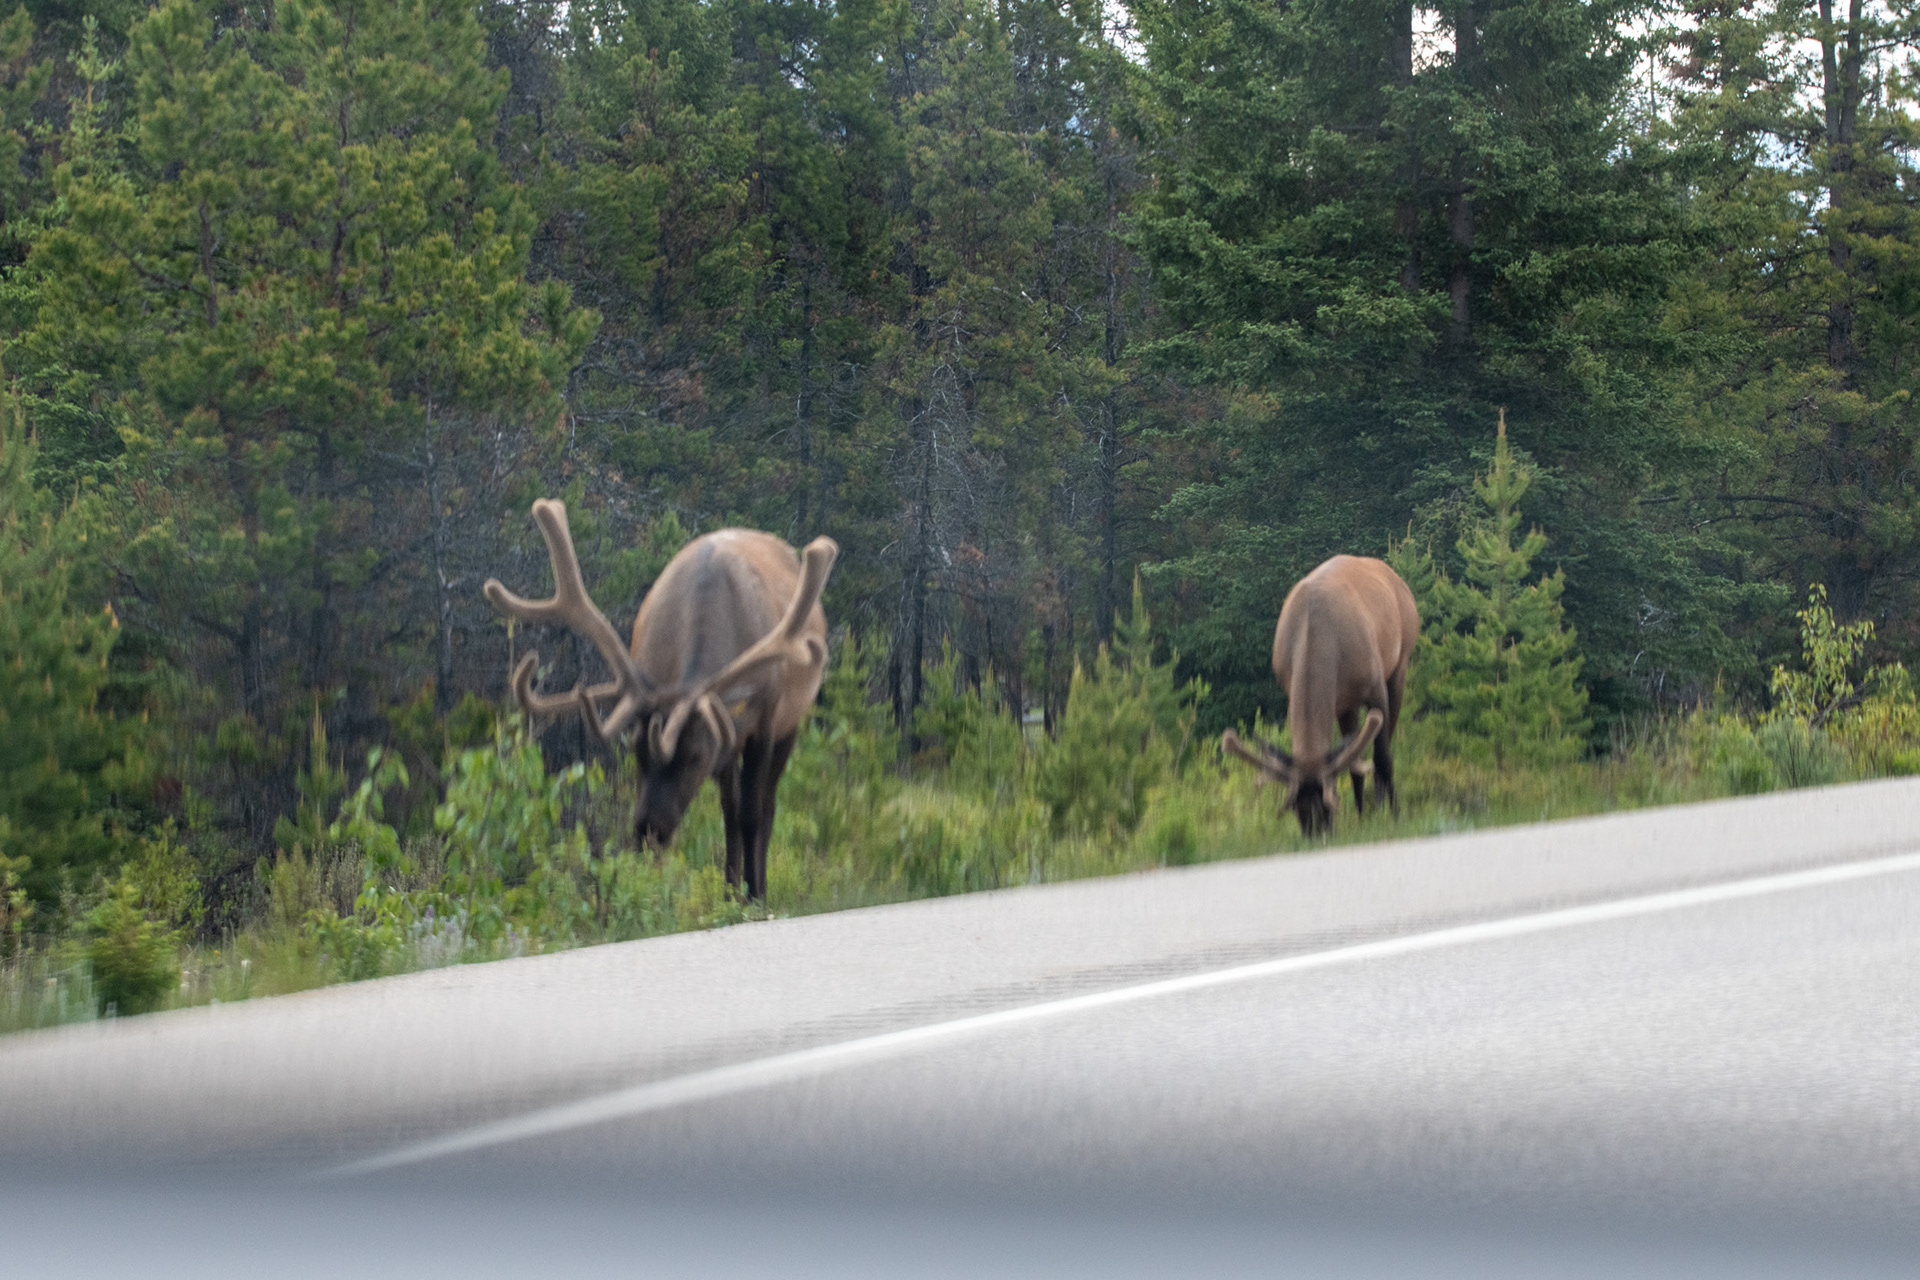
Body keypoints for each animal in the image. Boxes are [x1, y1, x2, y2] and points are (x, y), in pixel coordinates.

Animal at [483, 499, 837, 901]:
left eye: (695, 757)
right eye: (636, 750)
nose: (648, 830)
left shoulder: (764, 721)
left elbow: (754, 813)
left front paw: (756, 895)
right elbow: (732, 812)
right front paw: (733, 895)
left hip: (790, 723)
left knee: (765, 804)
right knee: (729, 808)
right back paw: (729, 890)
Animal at [1221, 555, 1419, 835]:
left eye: (1328, 803)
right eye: (1294, 807)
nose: (1317, 835)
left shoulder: (1375, 685)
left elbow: (1382, 756)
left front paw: (1394, 816)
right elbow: (1353, 762)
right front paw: (1361, 819)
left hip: (1401, 661)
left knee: (1384, 747)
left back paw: (1383, 806)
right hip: (1347, 702)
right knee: (1356, 757)